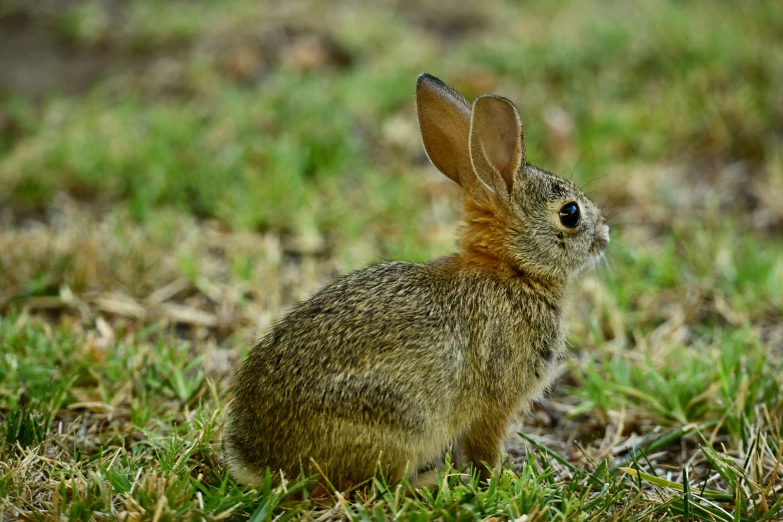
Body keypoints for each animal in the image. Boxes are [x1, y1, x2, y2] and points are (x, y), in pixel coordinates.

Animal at [224, 73, 608, 488]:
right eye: (570, 213)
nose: (605, 236)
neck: (512, 269)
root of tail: (258, 459)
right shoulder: (495, 402)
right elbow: (485, 446)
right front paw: (498, 479)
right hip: (398, 419)